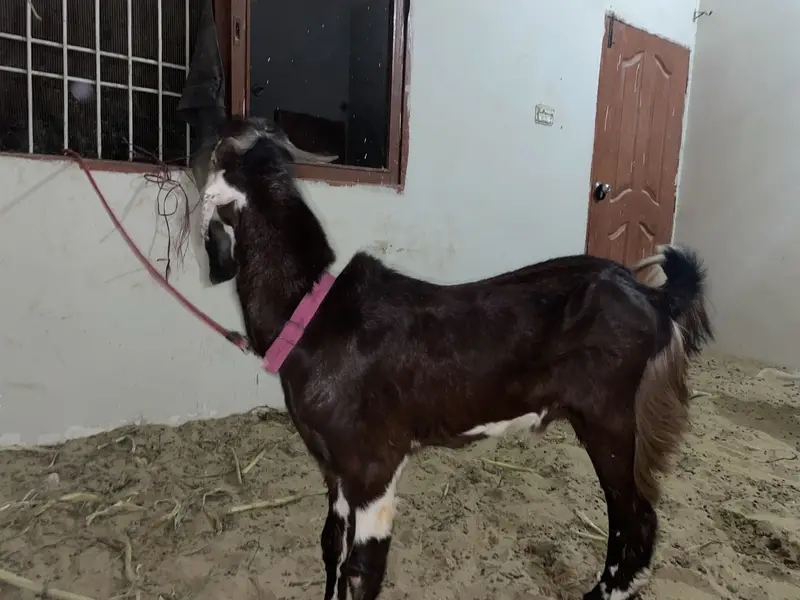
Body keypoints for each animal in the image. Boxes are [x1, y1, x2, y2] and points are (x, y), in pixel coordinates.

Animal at [198, 116, 713, 600]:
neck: (313, 314)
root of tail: (654, 298)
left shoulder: (373, 465)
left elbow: (362, 571)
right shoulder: (334, 469)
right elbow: (331, 547)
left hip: (612, 417)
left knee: (636, 519)